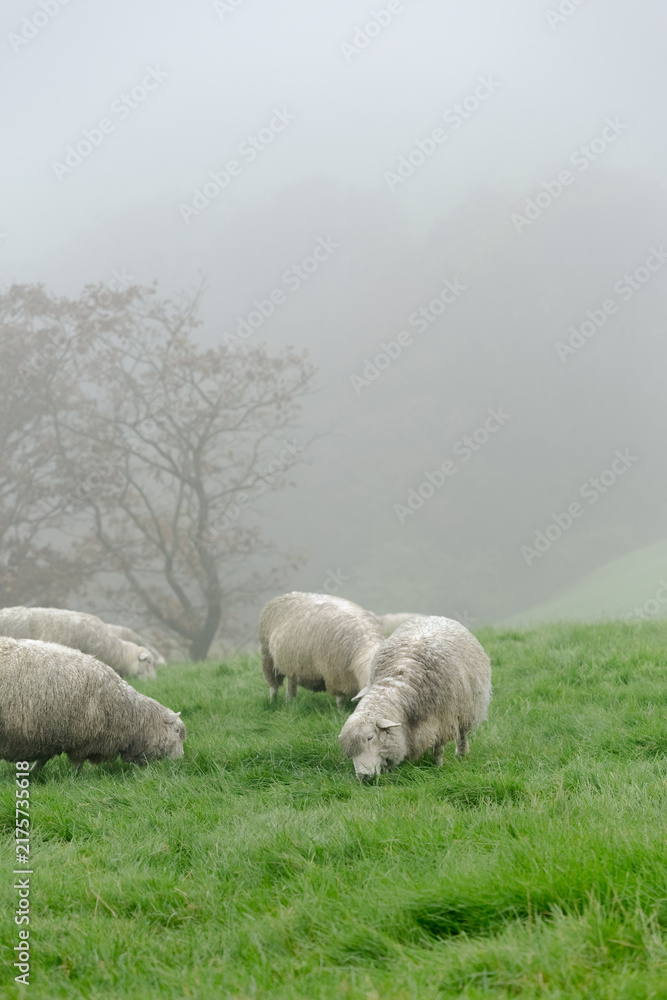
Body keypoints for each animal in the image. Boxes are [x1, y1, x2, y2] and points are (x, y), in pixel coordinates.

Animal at [0, 637, 185, 770]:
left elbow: (42, 760)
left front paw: (33, 774)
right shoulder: (83, 739)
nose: (181, 760)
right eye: (176, 731)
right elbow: (76, 766)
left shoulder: (49, 735)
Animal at [339, 616, 491, 779]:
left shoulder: (442, 721)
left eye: (369, 738)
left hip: (466, 709)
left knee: (462, 734)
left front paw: (438, 766)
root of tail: (437, 617)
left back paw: (461, 754)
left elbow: (439, 749)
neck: (398, 684)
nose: (364, 777)